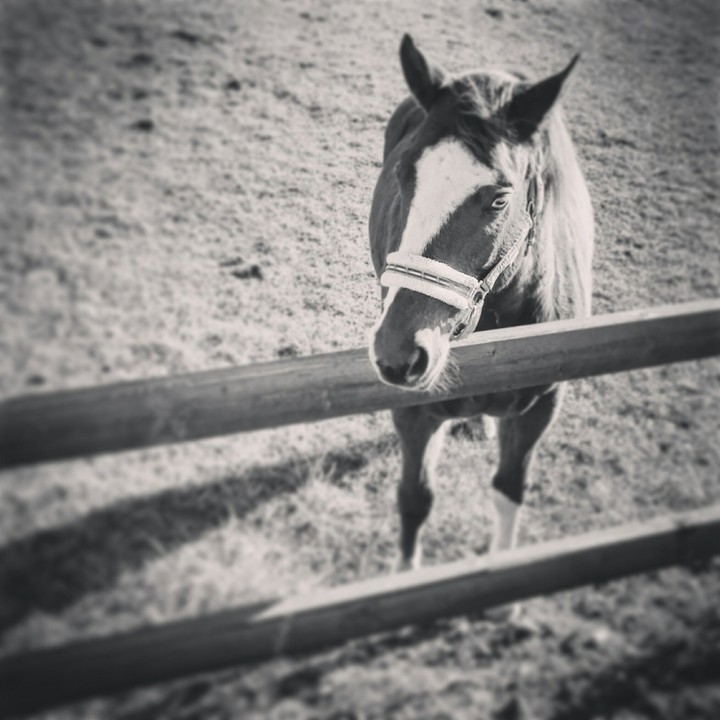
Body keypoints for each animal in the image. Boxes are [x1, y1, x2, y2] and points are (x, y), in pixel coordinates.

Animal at [368, 35, 594, 577]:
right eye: (403, 174)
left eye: (499, 199)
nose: (399, 355)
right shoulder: (414, 413)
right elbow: (414, 498)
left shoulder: (539, 409)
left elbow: (509, 491)